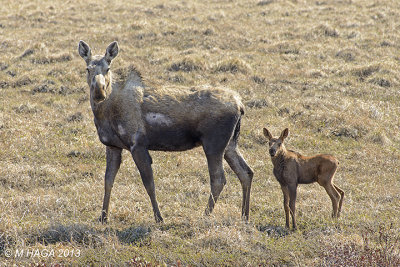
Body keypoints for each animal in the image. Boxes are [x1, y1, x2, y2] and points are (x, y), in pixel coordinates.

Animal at [78, 40, 253, 224]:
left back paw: (205, 215)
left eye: (108, 68)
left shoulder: (137, 144)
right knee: (246, 172)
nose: (99, 91)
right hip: (230, 144)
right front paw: (103, 217)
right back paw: (245, 216)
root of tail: (240, 105)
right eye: (87, 68)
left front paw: (159, 217)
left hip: (214, 144)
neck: (105, 113)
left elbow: (149, 184)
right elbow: (108, 180)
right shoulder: (113, 146)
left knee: (219, 178)